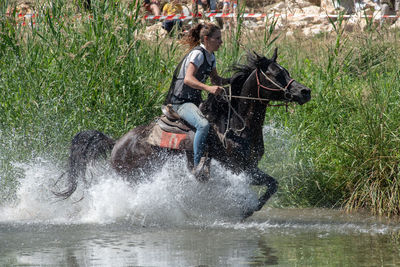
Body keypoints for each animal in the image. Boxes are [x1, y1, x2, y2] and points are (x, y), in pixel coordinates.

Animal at [54, 48, 310, 220]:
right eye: (276, 75)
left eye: (286, 72)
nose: (305, 91)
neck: (237, 125)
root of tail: (117, 143)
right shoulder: (238, 168)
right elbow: (263, 187)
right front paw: (244, 209)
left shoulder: (250, 167)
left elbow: (273, 185)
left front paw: (248, 210)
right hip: (134, 177)